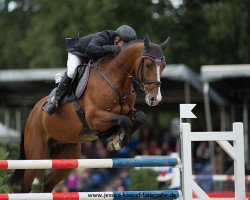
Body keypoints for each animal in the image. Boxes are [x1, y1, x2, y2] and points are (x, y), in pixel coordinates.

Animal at [8, 34, 171, 192]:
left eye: (163, 66)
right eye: (148, 65)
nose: (155, 98)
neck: (116, 80)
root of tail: (32, 114)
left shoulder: (128, 111)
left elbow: (139, 117)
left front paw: (117, 138)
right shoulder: (94, 118)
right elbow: (124, 120)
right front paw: (115, 139)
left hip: (67, 154)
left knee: (48, 182)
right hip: (36, 155)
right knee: (26, 184)